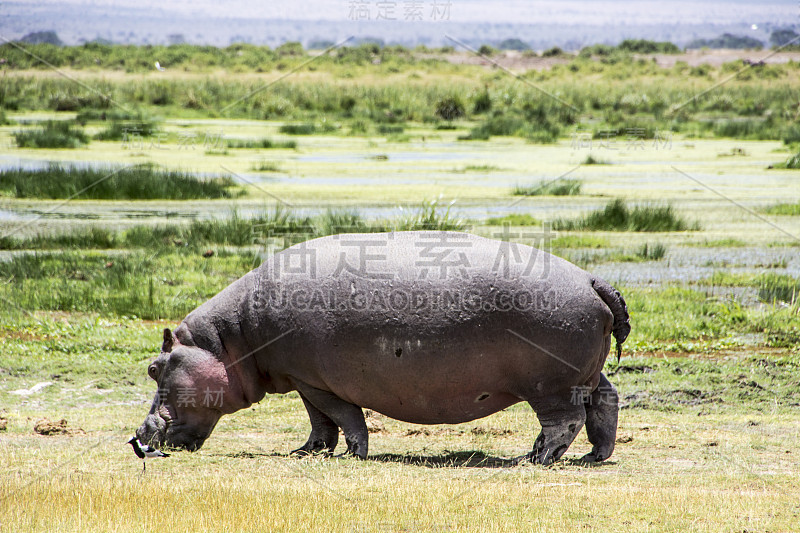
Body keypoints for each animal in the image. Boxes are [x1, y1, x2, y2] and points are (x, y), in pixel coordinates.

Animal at [142, 231, 632, 464]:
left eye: (153, 367)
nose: (140, 434)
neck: (231, 339)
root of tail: (592, 278)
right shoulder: (304, 380)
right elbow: (320, 423)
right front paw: (307, 453)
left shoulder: (315, 382)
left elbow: (343, 417)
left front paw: (352, 455)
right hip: (585, 374)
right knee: (605, 400)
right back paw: (591, 456)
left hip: (550, 384)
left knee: (564, 421)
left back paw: (531, 458)